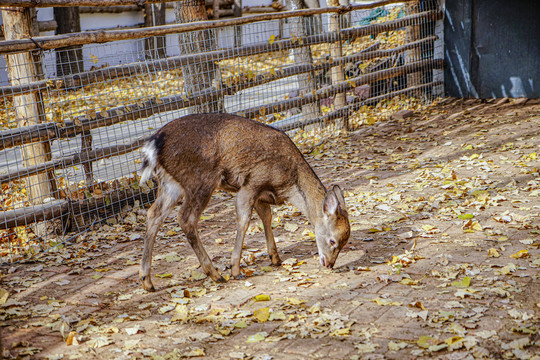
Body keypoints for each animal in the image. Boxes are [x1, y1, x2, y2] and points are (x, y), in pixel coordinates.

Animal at [138, 114, 350, 292]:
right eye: (332, 240)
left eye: (344, 243)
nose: (329, 263)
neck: (288, 183)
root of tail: (153, 146)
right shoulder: (252, 182)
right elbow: (244, 220)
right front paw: (235, 269)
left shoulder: (261, 195)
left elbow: (267, 217)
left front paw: (275, 258)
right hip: (200, 179)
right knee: (185, 218)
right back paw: (215, 274)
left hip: (170, 184)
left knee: (153, 214)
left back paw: (147, 281)